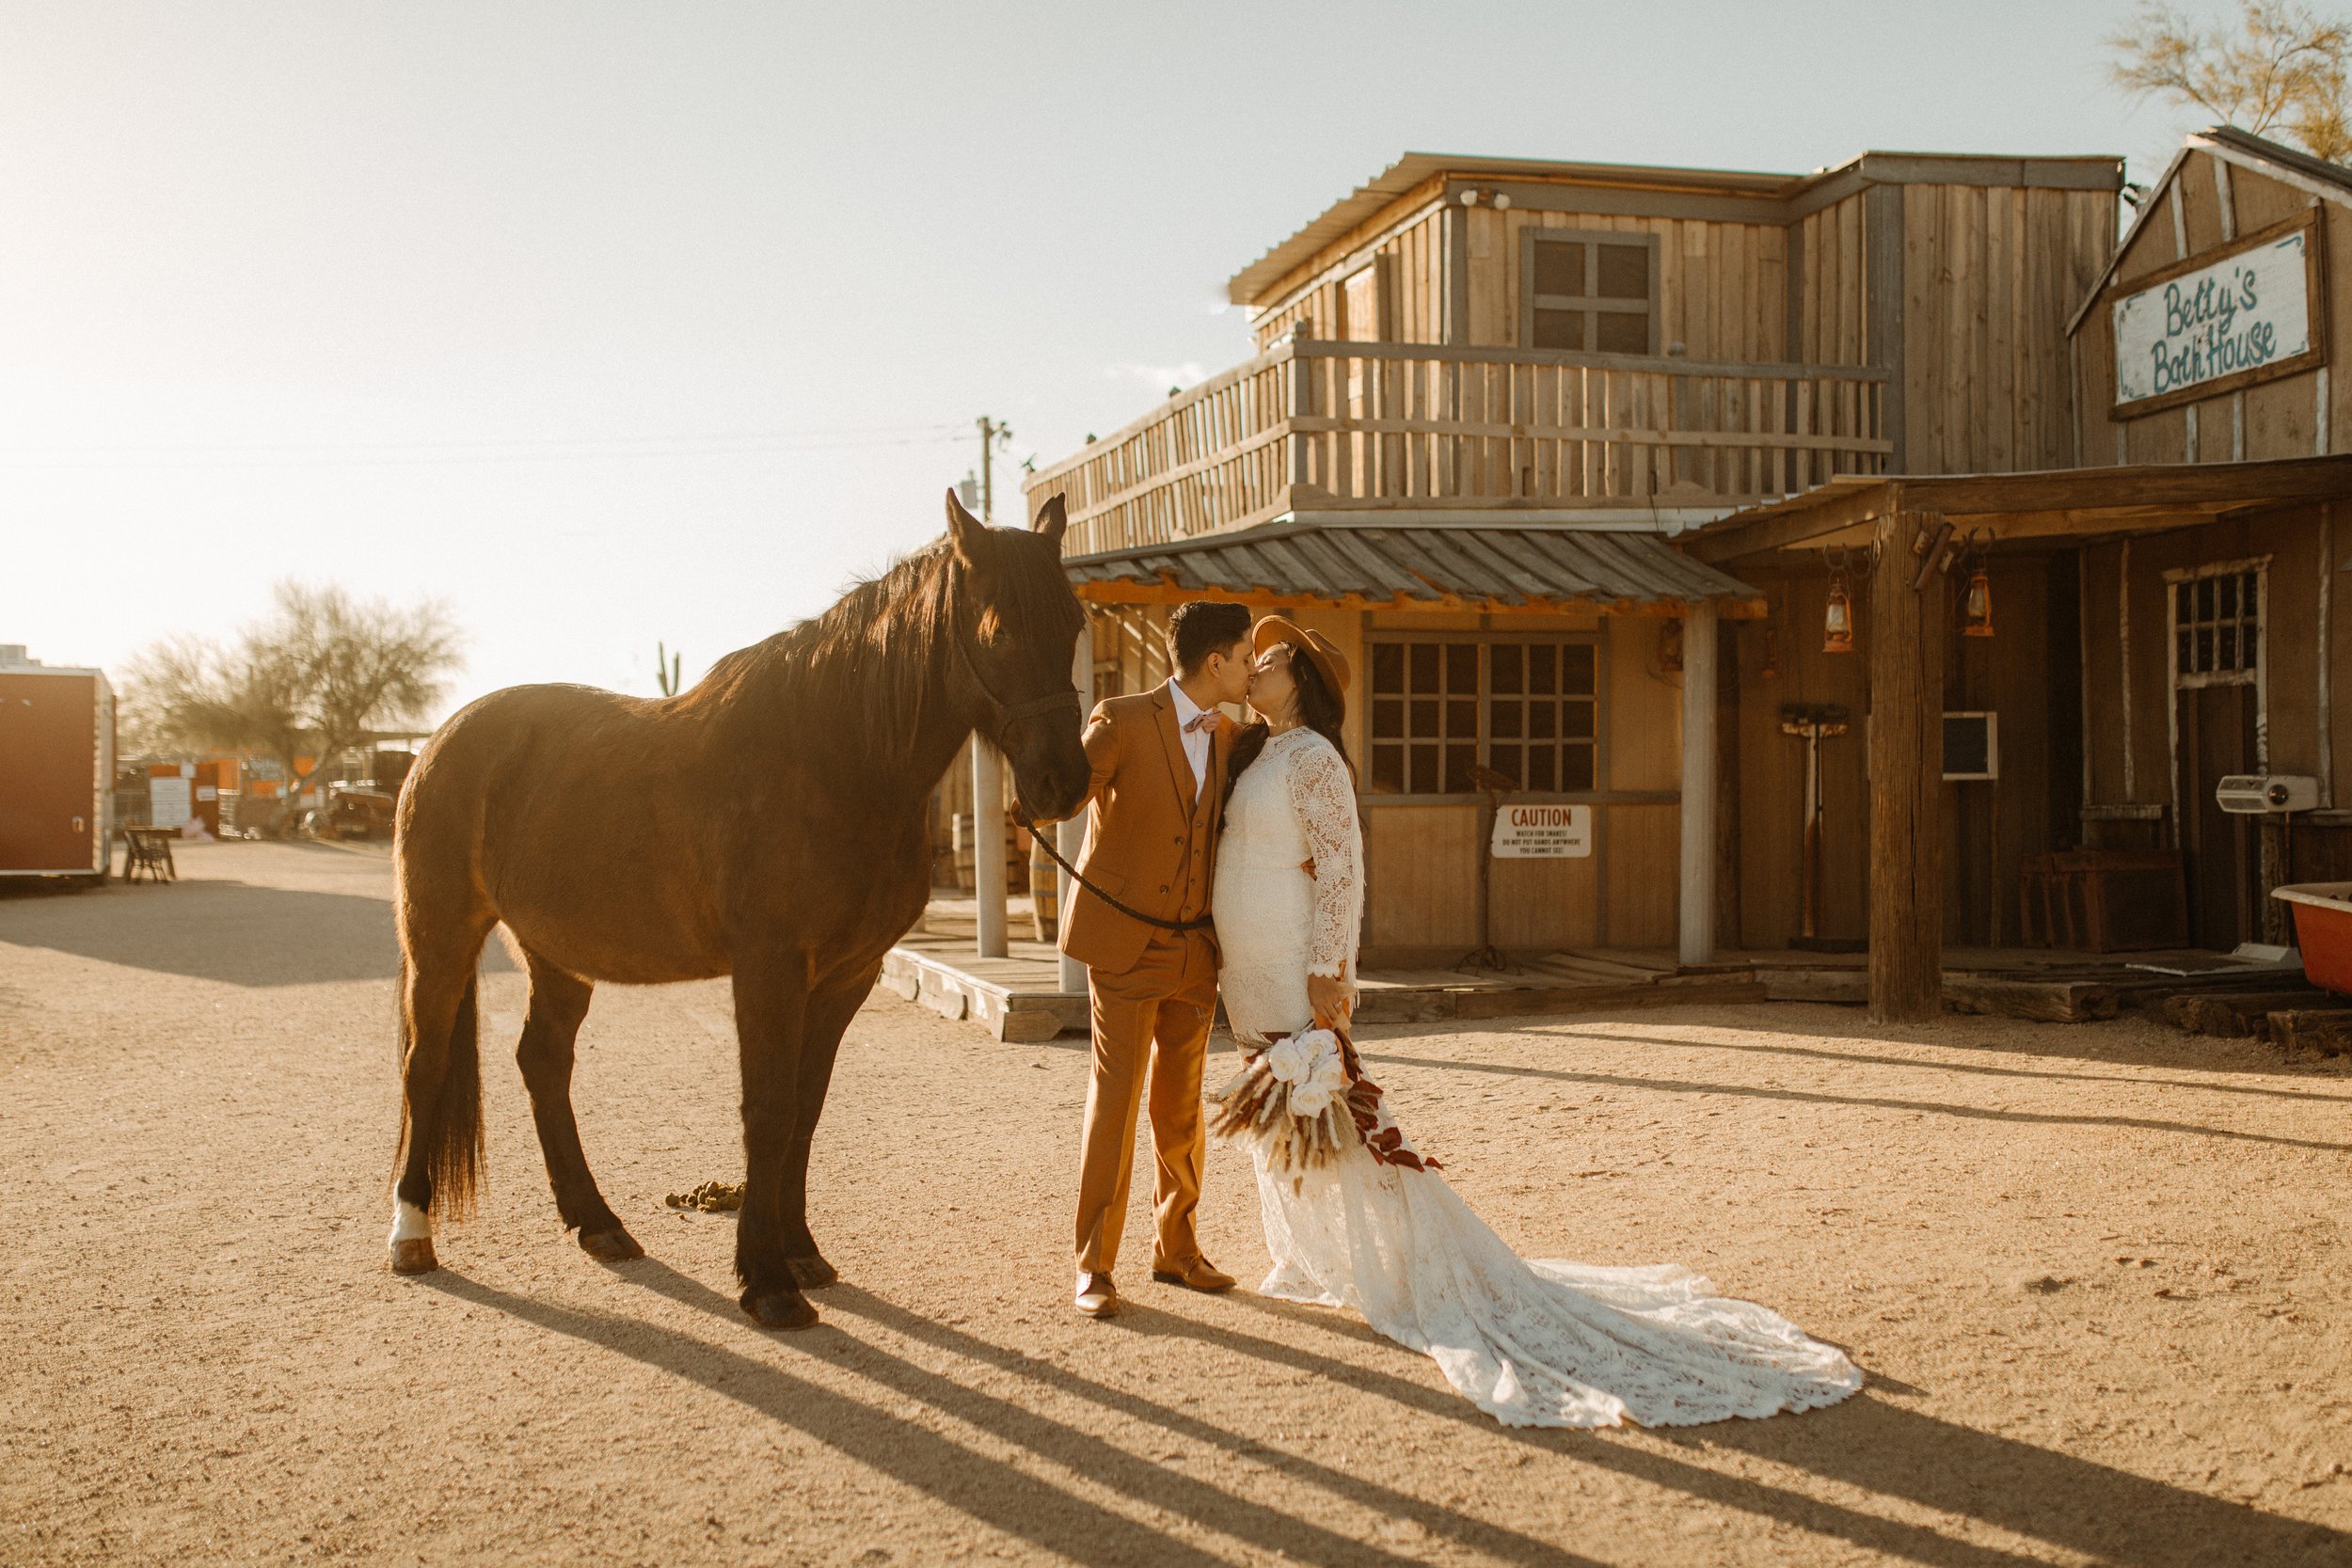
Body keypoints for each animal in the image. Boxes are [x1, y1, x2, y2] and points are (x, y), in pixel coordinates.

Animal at [381, 496, 1087, 1335]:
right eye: (999, 629)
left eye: (1075, 622)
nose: (1064, 783)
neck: (834, 756)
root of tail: (434, 746)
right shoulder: (769, 968)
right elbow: (768, 1109)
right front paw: (767, 1281)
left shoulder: (845, 977)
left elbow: (805, 1112)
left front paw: (801, 1253)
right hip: (441, 936)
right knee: (424, 1065)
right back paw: (411, 1234)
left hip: (556, 954)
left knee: (542, 1063)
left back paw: (598, 1223)